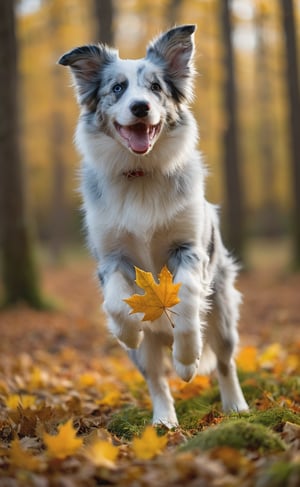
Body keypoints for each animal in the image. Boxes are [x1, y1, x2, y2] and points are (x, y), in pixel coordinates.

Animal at [58, 25, 248, 428]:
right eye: (117, 88)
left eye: (156, 87)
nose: (140, 107)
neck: (140, 173)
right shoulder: (111, 257)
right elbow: (115, 302)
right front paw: (127, 331)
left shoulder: (188, 249)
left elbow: (187, 298)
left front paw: (187, 361)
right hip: (148, 352)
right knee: (156, 378)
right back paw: (163, 420)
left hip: (223, 310)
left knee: (225, 362)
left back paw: (236, 406)